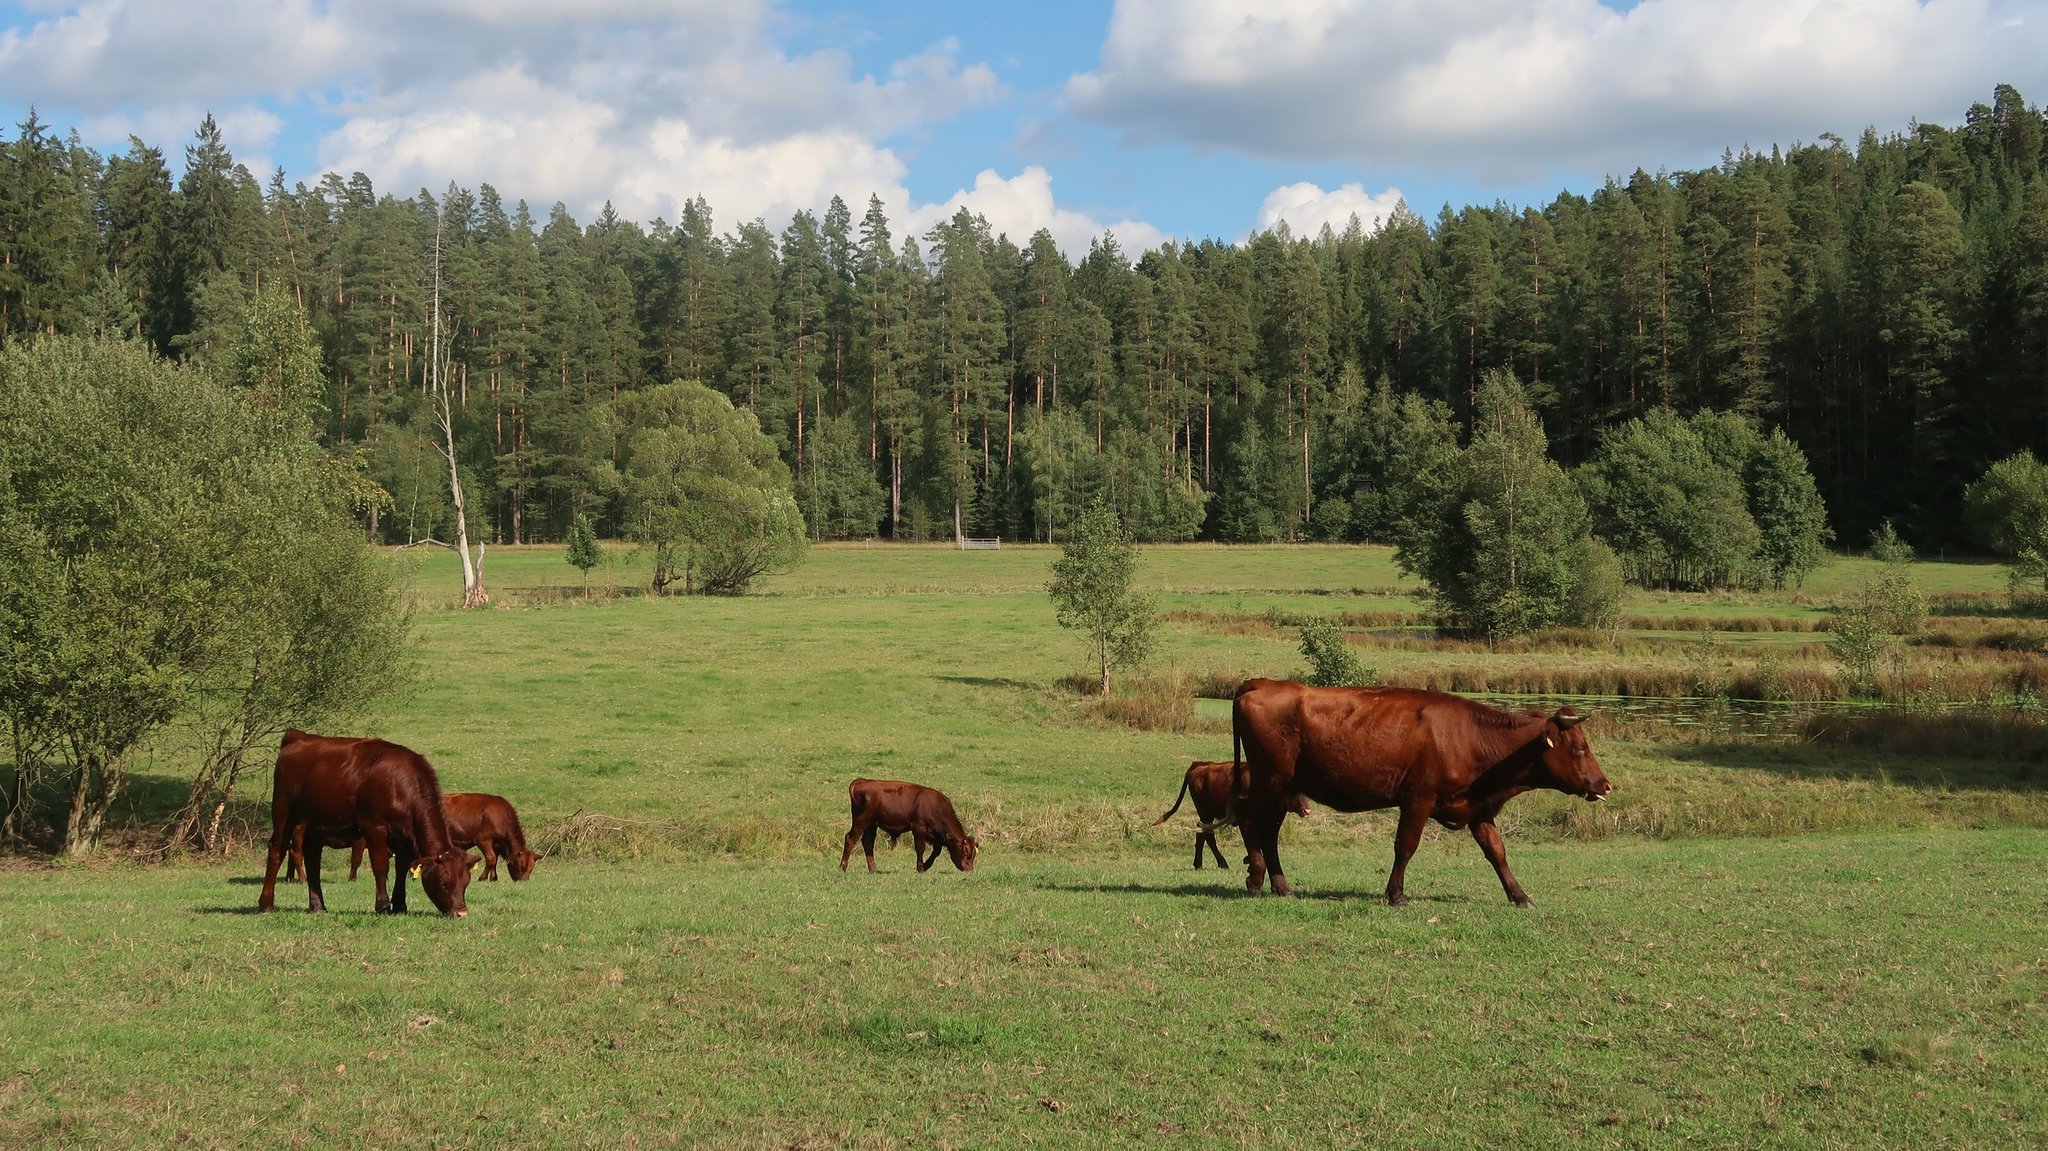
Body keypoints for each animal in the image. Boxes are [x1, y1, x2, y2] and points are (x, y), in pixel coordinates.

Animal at [254, 725, 475, 913]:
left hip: (315, 825)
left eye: (466, 883)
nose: (461, 912)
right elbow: (381, 866)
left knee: (312, 858)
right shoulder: (374, 827)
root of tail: (300, 737)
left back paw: (318, 906)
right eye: (443, 883)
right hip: (284, 814)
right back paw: (266, 904)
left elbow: (401, 868)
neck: (401, 784)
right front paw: (383, 905)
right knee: (277, 851)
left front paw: (400, 905)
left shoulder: (402, 835)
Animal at [843, 774, 978, 872]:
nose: (969, 869)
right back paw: (843, 867)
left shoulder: (934, 835)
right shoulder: (919, 828)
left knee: (868, 842)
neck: (936, 807)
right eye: (965, 853)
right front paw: (920, 867)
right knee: (850, 839)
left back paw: (873, 869)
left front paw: (926, 865)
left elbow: (936, 851)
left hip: (871, 825)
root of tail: (863, 781)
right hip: (861, 820)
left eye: (973, 855)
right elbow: (920, 848)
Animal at [1155, 757, 1310, 864]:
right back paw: (1221, 862)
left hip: (1206, 815)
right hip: (1205, 813)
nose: (1307, 810)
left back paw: (1198, 864)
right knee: (1207, 836)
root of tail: (1200, 765)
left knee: (1201, 835)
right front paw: (1249, 859)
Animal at [1220, 675, 1605, 901]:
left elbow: (1497, 852)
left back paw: (1281, 885)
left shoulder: (1478, 809)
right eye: (1579, 748)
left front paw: (1519, 895)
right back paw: (1256, 878)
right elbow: (1405, 847)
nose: (1605, 784)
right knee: (1250, 822)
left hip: (1283, 790)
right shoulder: (1418, 800)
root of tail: (1262, 683)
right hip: (1270, 782)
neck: (1470, 736)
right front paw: (1396, 894)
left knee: (1268, 832)